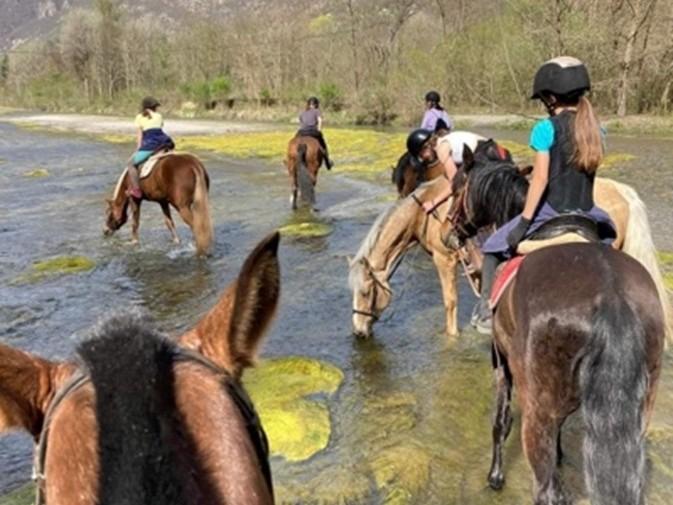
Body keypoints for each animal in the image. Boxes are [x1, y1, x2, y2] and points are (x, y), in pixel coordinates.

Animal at [349, 176, 459, 339]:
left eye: (365, 293)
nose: (358, 331)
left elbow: (450, 301)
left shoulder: (445, 260)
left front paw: (453, 335)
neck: (422, 214)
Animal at [448, 158, 666, 504]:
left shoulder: (502, 362)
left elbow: (500, 421)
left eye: (458, 188)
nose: (450, 231)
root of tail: (612, 298)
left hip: (536, 411)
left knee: (547, 489)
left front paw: (495, 476)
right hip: (640, 410)